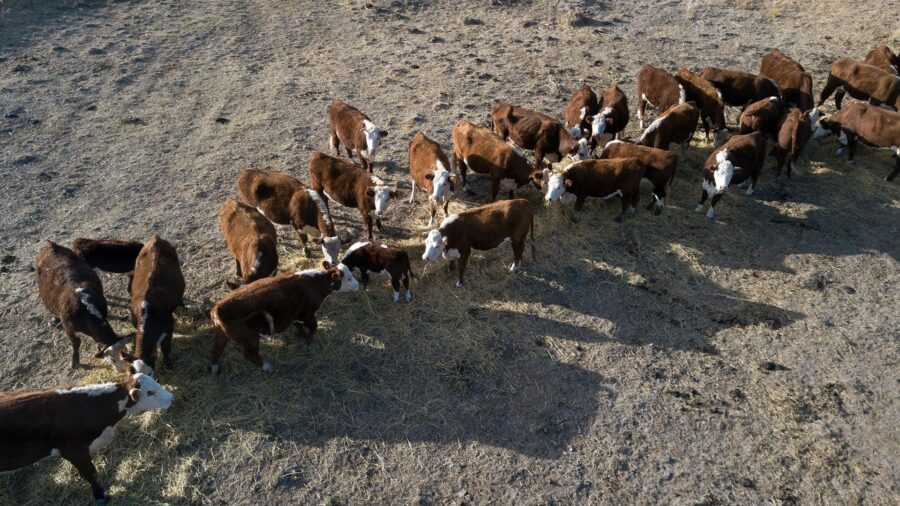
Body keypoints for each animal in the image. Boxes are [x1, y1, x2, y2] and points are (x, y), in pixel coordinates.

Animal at [209, 265, 359, 374]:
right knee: (249, 355)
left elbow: (299, 327)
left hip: (221, 334)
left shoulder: (295, 315)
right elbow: (313, 328)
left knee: (216, 350)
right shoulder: (308, 314)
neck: (315, 283)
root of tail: (218, 307)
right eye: (349, 278)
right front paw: (307, 345)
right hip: (250, 339)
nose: (358, 285)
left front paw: (302, 340)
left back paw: (215, 369)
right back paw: (267, 367)